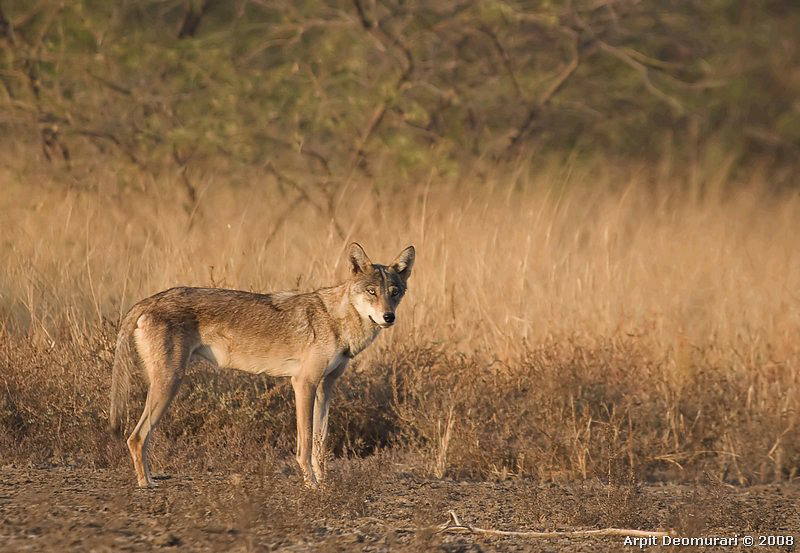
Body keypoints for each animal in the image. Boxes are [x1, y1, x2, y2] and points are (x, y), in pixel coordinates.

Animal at [108, 244, 416, 486]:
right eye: (371, 291)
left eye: (394, 292)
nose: (388, 317)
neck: (336, 321)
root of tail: (148, 300)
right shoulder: (303, 383)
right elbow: (305, 444)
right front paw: (311, 485)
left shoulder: (325, 387)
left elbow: (320, 442)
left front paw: (325, 484)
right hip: (169, 383)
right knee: (135, 437)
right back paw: (146, 483)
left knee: (136, 437)